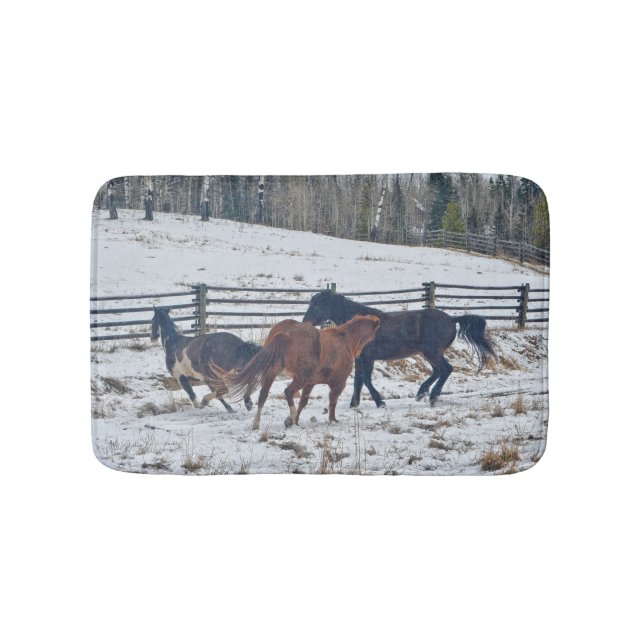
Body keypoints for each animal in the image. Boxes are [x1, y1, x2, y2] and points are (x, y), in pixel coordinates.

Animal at [217, 316, 380, 430]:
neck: (344, 339)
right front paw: (332, 420)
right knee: (288, 392)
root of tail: (286, 333)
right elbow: (332, 402)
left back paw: (257, 424)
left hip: (272, 373)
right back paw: (290, 417)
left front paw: (296, 421)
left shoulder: (310, 383)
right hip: (300, 378)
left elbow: (303, 401)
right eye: (375, 332)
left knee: (263, 396)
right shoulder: (338, 384)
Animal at [302, 290, 496, 408]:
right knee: (438, 371)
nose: (306, 323)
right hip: (430, 353)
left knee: (446, 369)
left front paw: (380, 402)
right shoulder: (360, 359)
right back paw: (421, 393)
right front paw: (354, 404)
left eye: (317, 305)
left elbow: (366, 380)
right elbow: (358, 380)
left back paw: (432, 396)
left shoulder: (368, 358)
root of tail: (452, 319)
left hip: (432, 352)